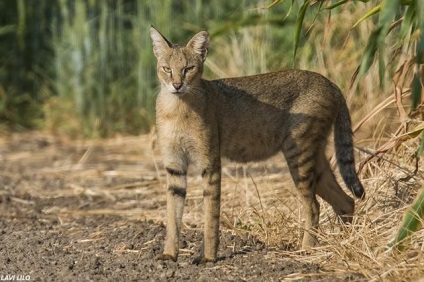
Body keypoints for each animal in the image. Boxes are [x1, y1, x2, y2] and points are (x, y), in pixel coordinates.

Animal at [149, 26, 364, 264]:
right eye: (167, 69)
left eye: (188, 68)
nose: (177, 85)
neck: (176, 107)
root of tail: (330, 83)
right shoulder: (174, 165)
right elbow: (172, 215)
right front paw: (169, 253)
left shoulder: (210, 163)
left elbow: (211, 213)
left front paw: (209, 257)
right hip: (314, 158)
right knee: (346, 201)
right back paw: (346, 244)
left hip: (298, 153)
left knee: (314, 205)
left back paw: (307, 250)